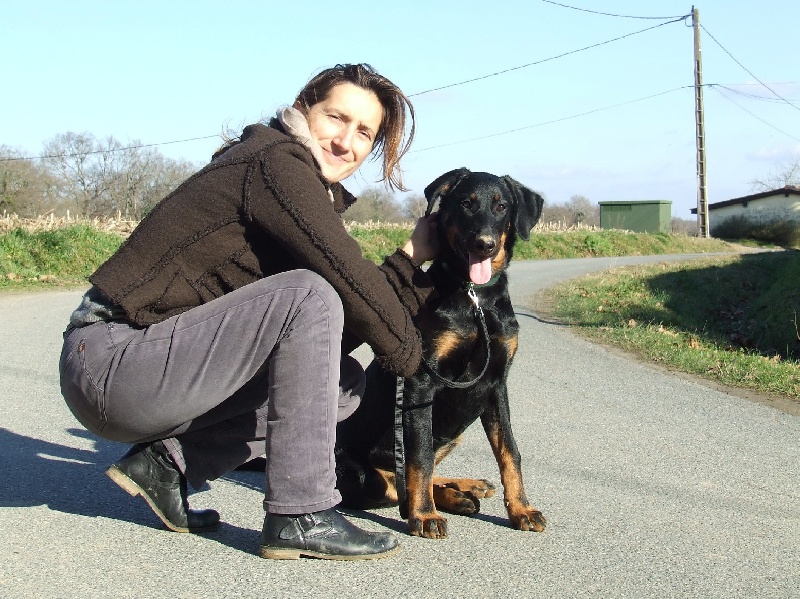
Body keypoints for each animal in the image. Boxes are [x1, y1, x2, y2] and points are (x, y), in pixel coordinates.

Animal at [334, 168, 548, 540]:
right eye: (466, 204)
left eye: (502, 206)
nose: (484, 244)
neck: (476, 298)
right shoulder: (421, 382)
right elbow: (419, 458)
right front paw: (424, 515)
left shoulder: (497, 384)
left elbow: (510, 452)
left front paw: (521, 509)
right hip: (362, 473)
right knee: (398, 484)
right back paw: (446, 499)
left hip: (453, 433)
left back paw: (467, 488)